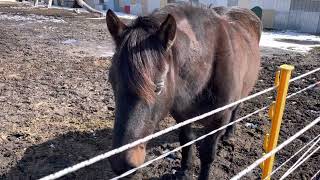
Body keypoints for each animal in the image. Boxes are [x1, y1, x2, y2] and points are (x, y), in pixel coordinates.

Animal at [106, 2, 262, 179]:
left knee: (236, 109)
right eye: (112, 81)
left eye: (158, 87)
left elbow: (208, 154)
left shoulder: (218, 120)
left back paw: (229, 134)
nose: (121, 165)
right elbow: (186, 142)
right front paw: (184, 171)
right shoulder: (182, 115)